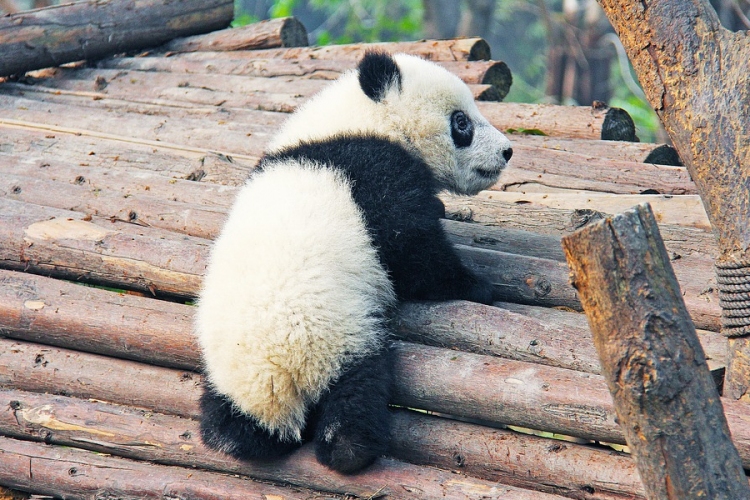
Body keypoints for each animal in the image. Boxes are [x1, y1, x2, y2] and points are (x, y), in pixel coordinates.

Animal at [194, 51, 516, 476]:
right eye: (461, 122)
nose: (507, 151)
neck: (359, 120)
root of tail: (275, 376)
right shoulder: (375, 174)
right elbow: (413, 253)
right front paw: (477, 286)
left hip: (227, 372)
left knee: (229, 421)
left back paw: (233, 435)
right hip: (339, 335)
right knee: (357, 390)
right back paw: (351, 449)